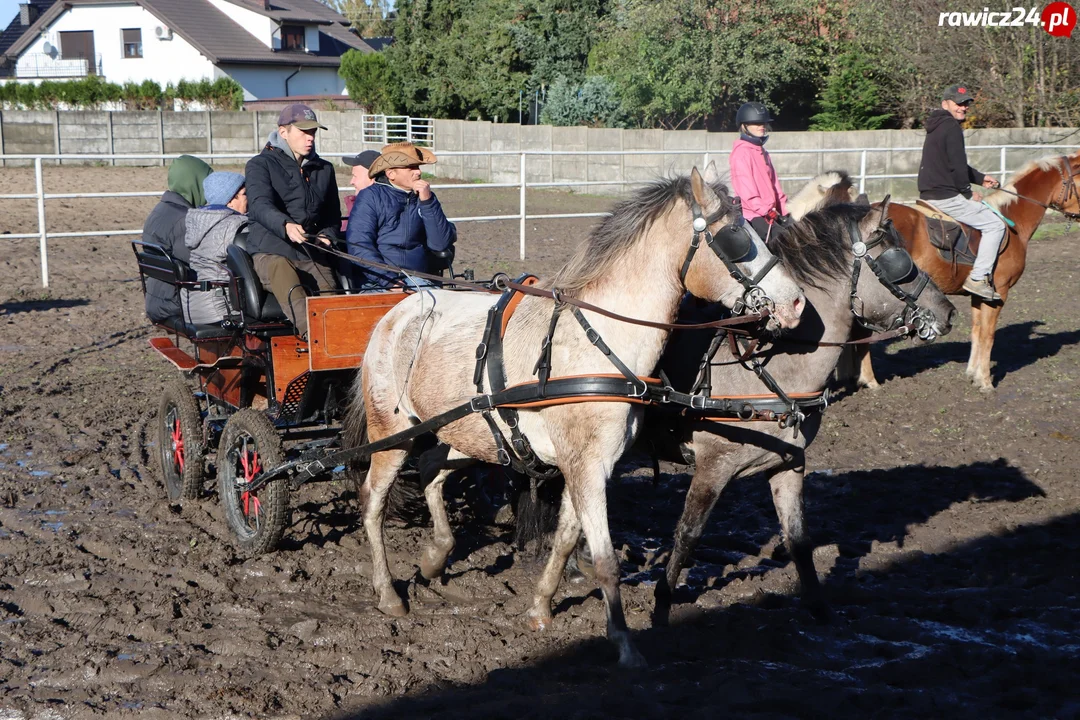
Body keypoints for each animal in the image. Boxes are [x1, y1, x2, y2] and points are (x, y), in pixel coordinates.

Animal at [349, 166, 807, 669]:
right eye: (736, 237)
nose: (797, 303)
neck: (600, 343)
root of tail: (398, 311)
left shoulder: (584, 465)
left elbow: (567, 536)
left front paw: (539, 609)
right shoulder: (587, 466)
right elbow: (605, 558)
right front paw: (624, 644)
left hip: (465, 432)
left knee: (432, 472)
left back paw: (436, 557)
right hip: (394, 433)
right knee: (372, 501)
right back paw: (388, 593)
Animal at [648, 202, 954, 626]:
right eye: (899, 261)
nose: (949, 312)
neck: (764, 363)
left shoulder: (788, 464)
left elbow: (799, 539)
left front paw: (818, 607)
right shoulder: (712, 467)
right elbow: (687, 535)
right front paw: (661, 606)